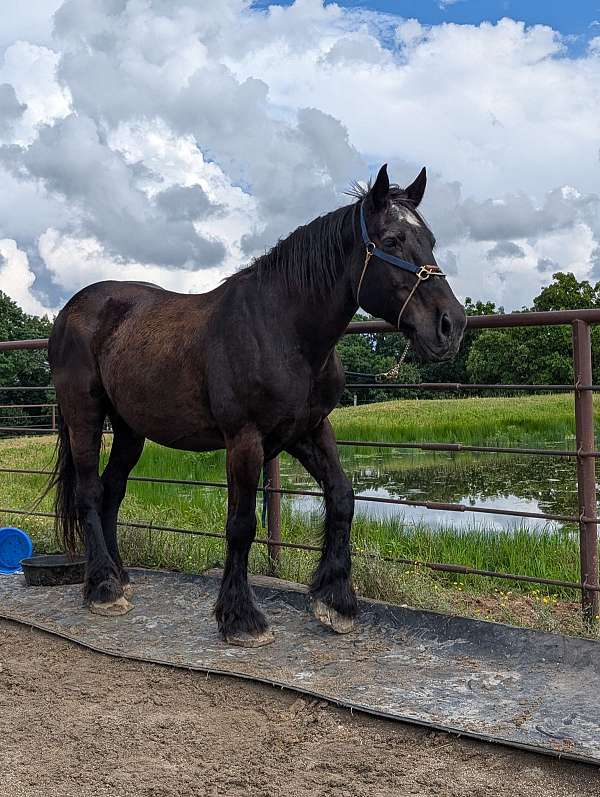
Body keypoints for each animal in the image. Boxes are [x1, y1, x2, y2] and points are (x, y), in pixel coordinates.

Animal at [47, 164, 466, 647]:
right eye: (393, 240)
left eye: (430, 240)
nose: (451, 325)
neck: (282, 330)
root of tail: (71, 310)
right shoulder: (244, 440)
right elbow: (242, 524)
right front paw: (241, 618)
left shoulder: (309, 429)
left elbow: (342, 496)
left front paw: (336, 602)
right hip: (83, 415)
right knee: (90, 491)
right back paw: (102, 588)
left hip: (131, 428)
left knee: (113, 489)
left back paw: (119, 576)